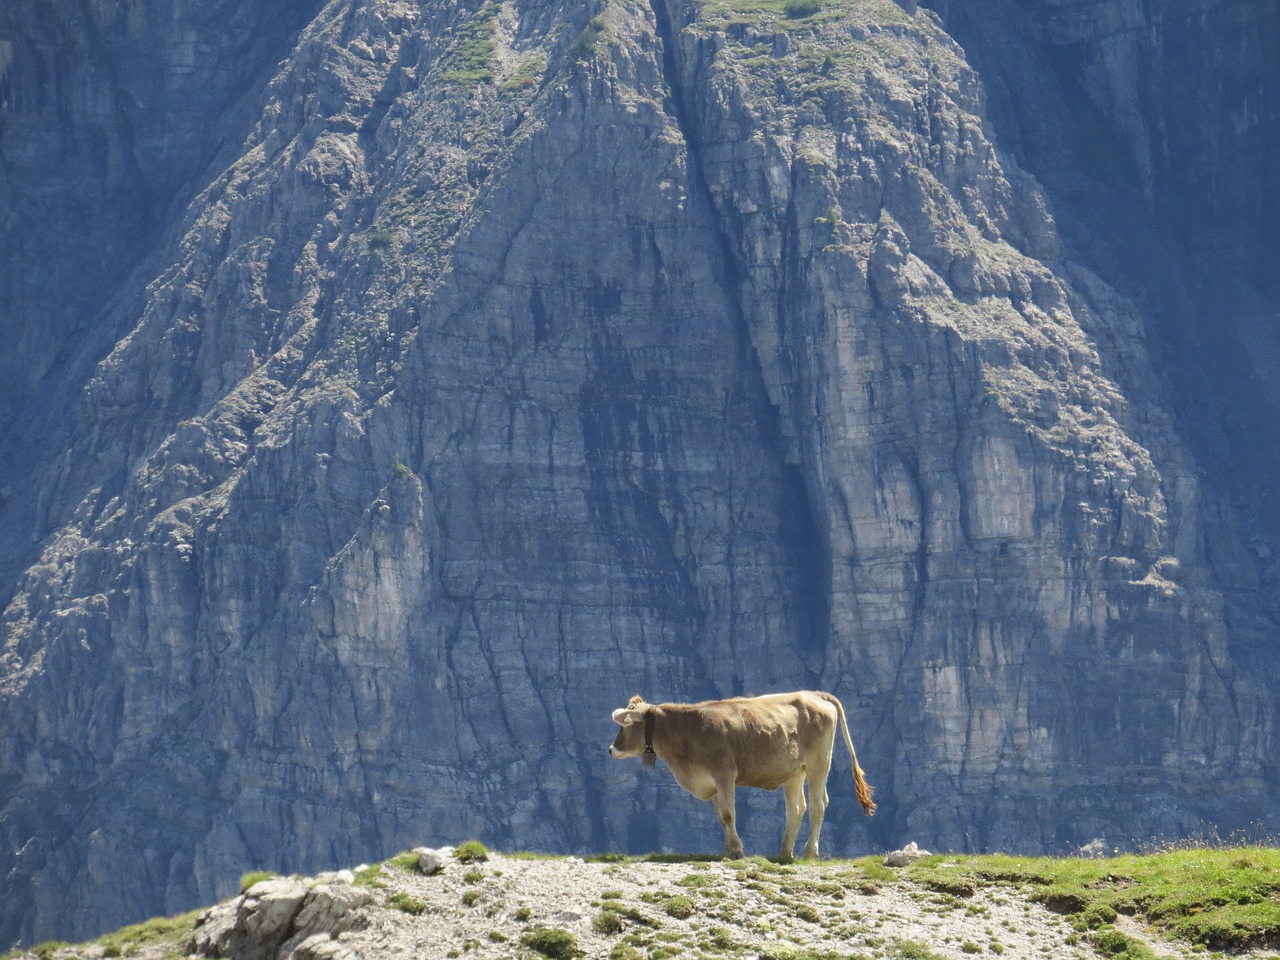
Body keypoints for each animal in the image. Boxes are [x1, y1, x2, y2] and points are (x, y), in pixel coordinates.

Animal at [606, 696, 870, 860]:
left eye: (624, 725)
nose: (611, 749)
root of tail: (814, 695)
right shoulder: (711, 783)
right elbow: (721, 818)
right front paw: (728, 849)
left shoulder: (724, 774)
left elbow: (728, 814)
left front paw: (736, 851)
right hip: (795, 771)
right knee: (796, 809)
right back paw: (785, 852)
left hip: (819, 763)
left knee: (818, 806)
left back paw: (809, 853)